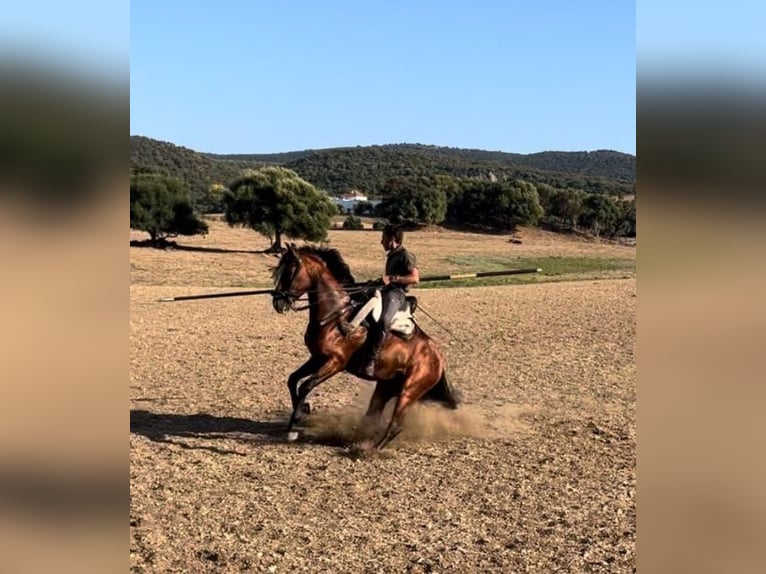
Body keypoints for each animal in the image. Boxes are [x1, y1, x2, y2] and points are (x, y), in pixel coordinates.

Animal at [272, 243, 460, 450]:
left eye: (290, 271)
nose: (277, 302)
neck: (336, 316)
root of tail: (438, 357)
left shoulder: (336, 362)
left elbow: (306, 385)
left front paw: (294, 426)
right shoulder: (317, 357)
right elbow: (292, 380)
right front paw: (303, 409)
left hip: (409, 391)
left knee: (395, 425)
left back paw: (370, 449)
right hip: (386, 387)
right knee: (373, 417)